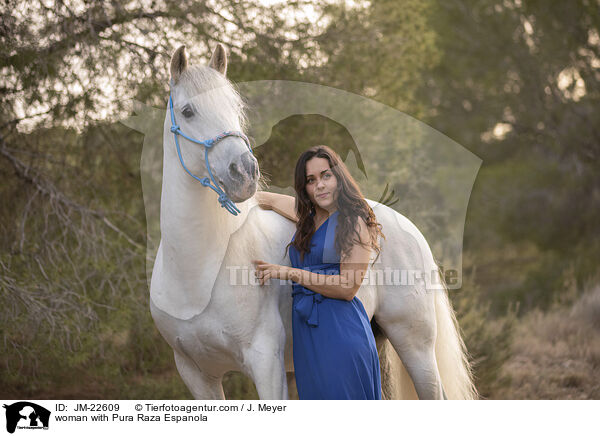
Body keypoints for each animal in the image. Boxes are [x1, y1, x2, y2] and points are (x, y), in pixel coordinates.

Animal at [151, 43, 478, 398]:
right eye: (187, 111)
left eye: (235, 108)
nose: (245, 173)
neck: (197, 275)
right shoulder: (196, 374)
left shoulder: (265, 364)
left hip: (415, 344)